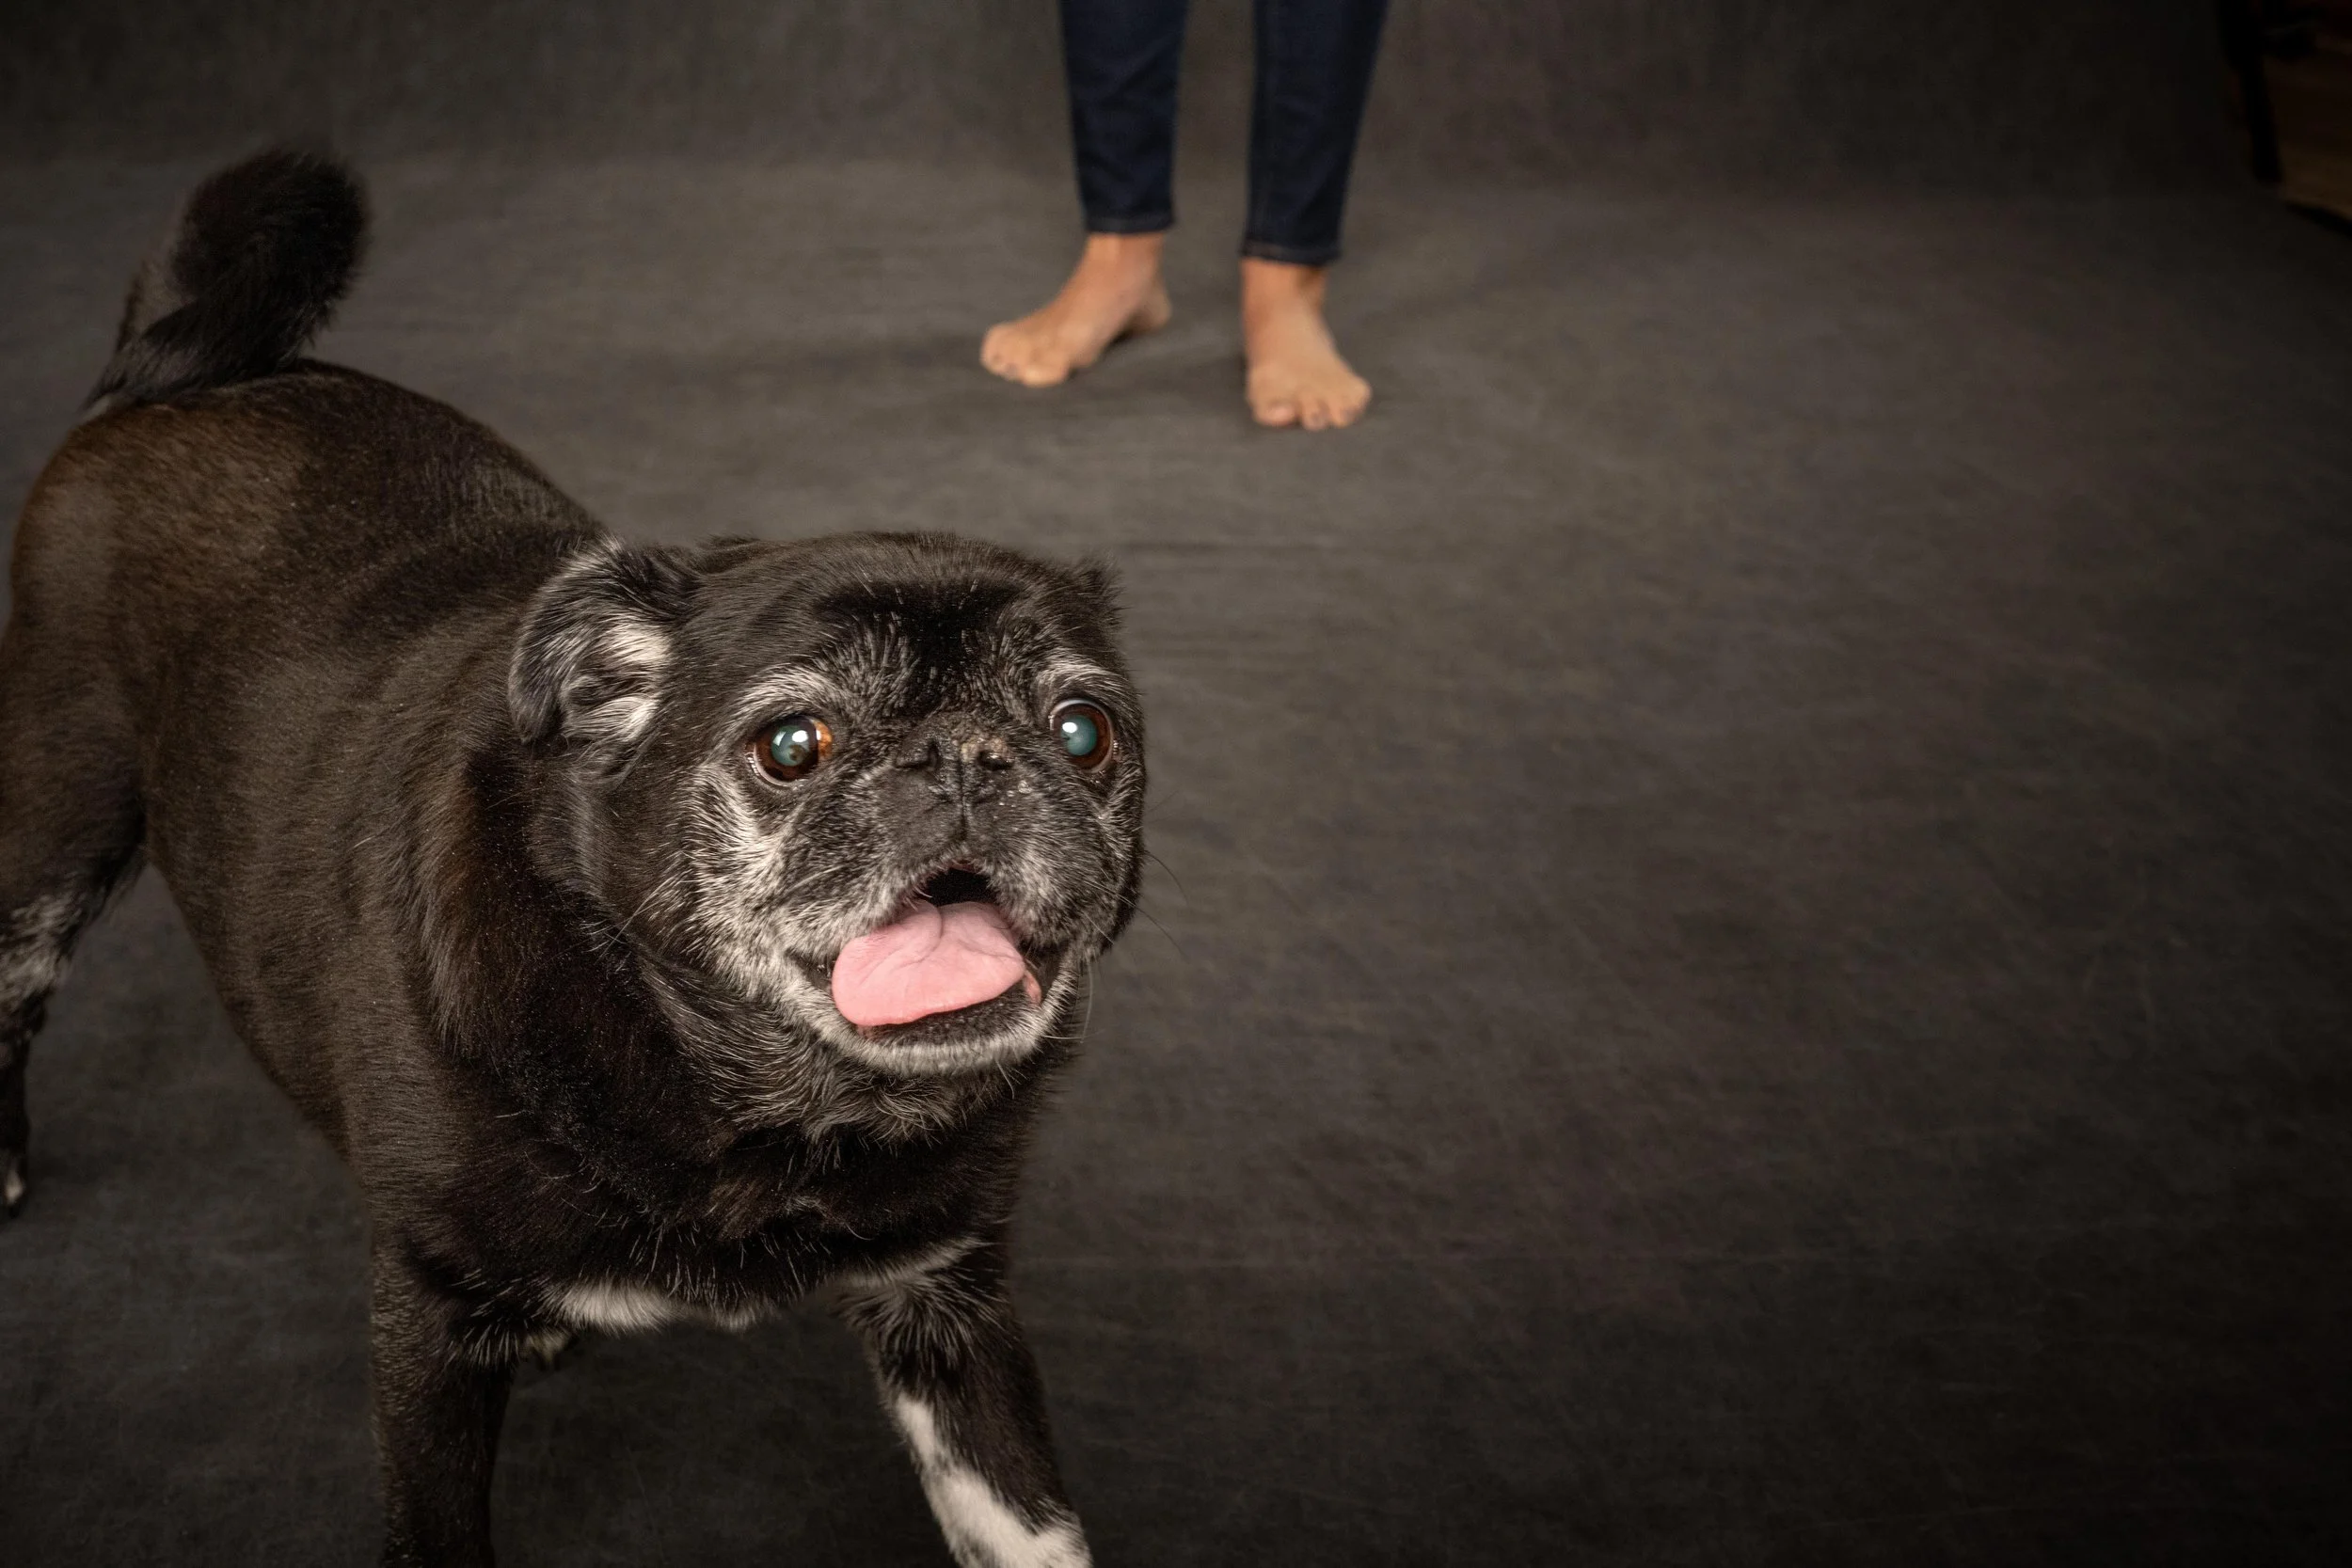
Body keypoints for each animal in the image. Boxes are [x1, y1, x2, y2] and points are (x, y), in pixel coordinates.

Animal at [0, 150, 1144, 1568]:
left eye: (1084, 730)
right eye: (793, 743)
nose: (968, 758)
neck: (751, 1099)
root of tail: (187, 372)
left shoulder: (950, 1307)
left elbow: (1029, 1528)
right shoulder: (429, 1327)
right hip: (49, 839)